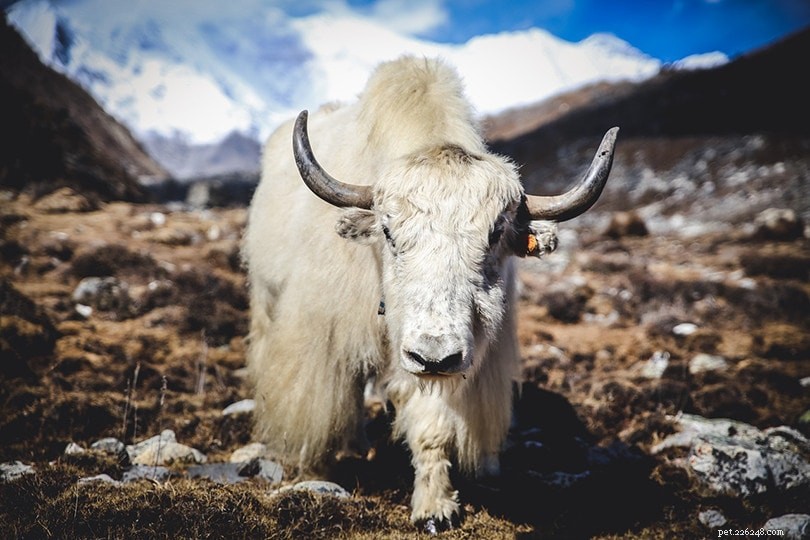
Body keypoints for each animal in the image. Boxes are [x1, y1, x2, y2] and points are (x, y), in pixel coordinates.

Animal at [242, 55, 618, 531]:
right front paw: (315, 472)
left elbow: (432, 424)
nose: (434, 356)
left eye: (496, 234)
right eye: (387, 231)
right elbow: (320, 404)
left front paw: (434, 508)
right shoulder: (321, 336)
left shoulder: (451, 361)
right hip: (264, 299)